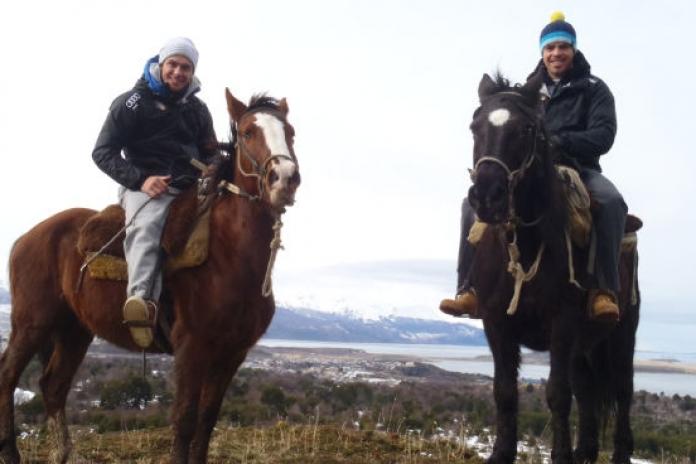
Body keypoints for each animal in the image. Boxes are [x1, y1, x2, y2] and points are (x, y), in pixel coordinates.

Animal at [0, 89, 300, 464]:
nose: (285, 178)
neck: (229, 255)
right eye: (248, 132)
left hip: (74, 330)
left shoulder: (232, 353)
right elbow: (185, 420)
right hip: (32, 323)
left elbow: (207, 421)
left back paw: (65, 454)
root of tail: (25, 238)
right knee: (8, 376)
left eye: (290, 132)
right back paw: (11, 452)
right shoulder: (192, 347)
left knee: (53, 386)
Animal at [467, 72, 640, 464]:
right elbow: (505, 391)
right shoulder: (496, 323)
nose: (487, 197)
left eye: (527, 128)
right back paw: (585, 451)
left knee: (623, 392)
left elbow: (558, 394)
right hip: (584, 349)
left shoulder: (562, 323)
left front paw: (560, 456)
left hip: (622, 336)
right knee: (588, 392)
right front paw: (501, 453)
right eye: (474, 126)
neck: (527, 244)